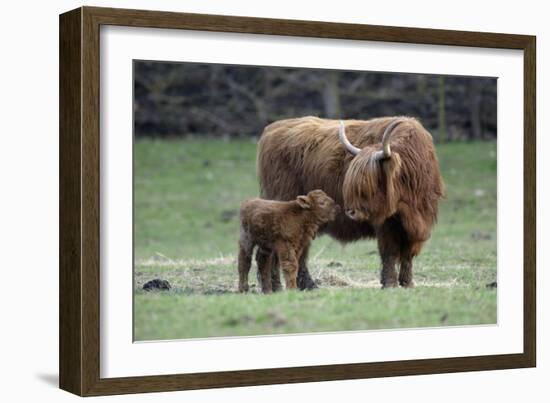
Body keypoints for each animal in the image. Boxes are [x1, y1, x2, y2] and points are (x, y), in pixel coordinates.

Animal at [260, 117, 448, 290]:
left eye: (371, 183)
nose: (351, 212)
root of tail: (273, 128)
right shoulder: (386, 224)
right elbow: (390, 251)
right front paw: (390, 283)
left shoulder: (419, 222)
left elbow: (408, 254)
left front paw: (407, 283)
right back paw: (284, 286)